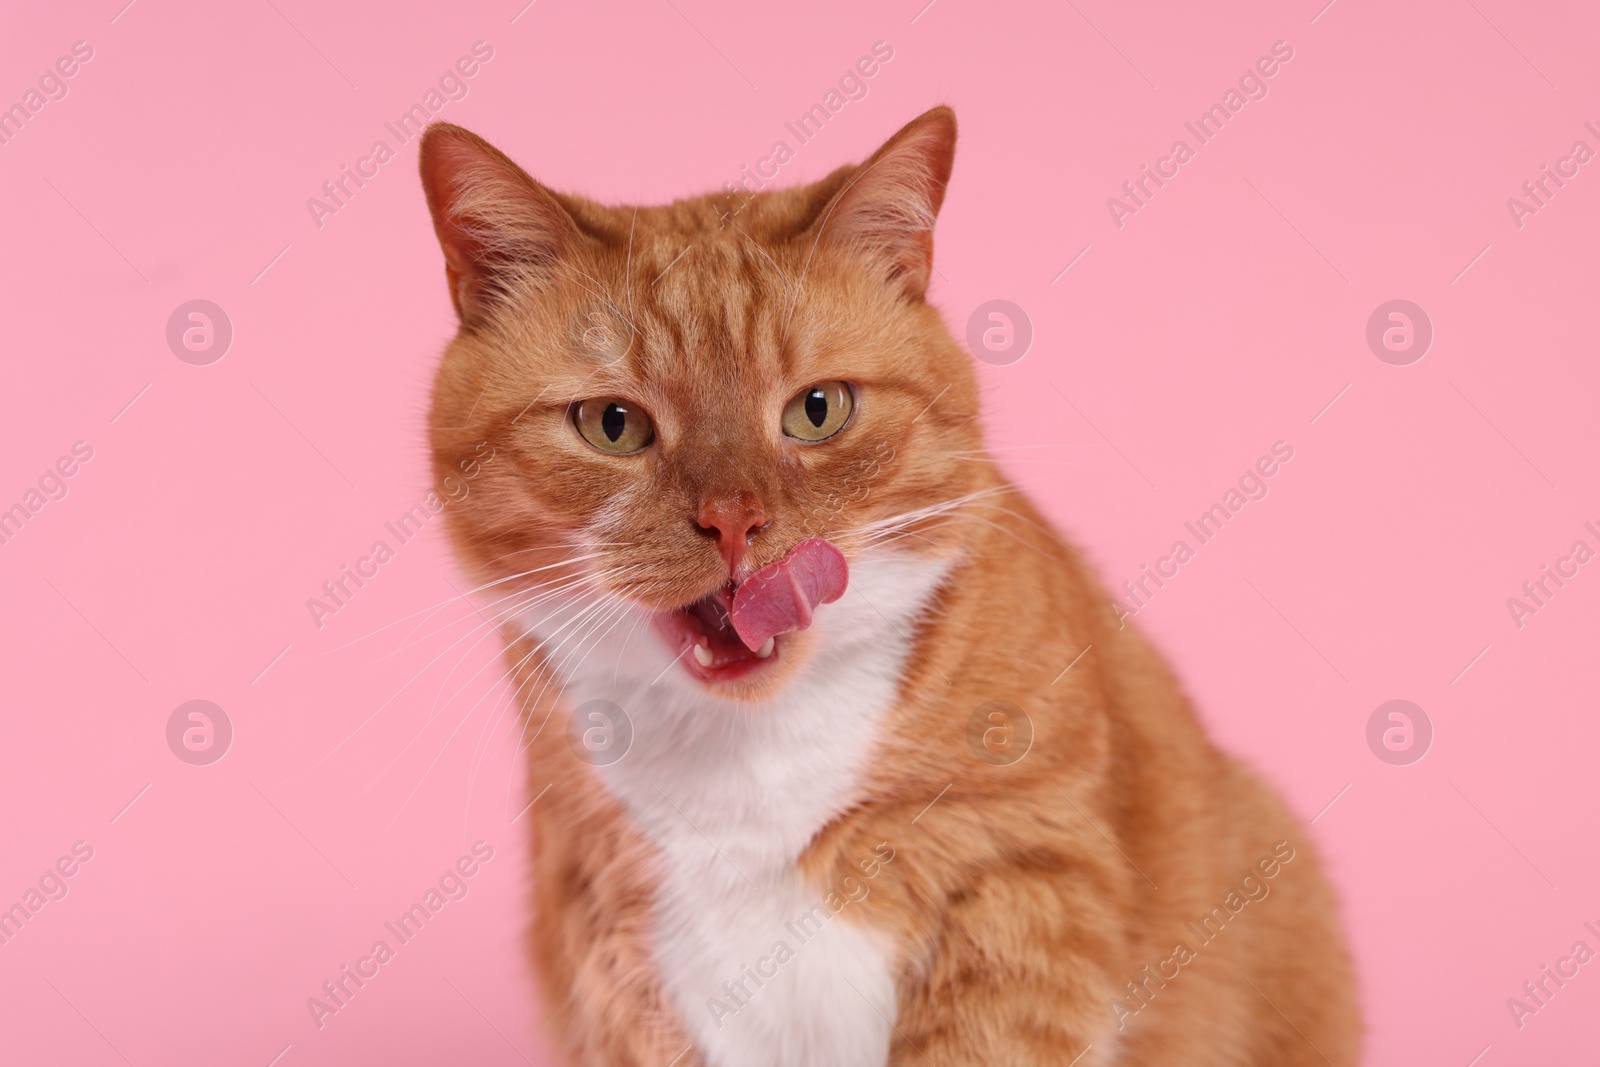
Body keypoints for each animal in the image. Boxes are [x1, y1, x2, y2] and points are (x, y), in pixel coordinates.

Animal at [419, 103, 1356, 1062]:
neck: (749, 767)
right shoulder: (620, 952)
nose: (734, 519)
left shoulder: (1022, 879)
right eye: (613, 425)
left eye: (817, 409)